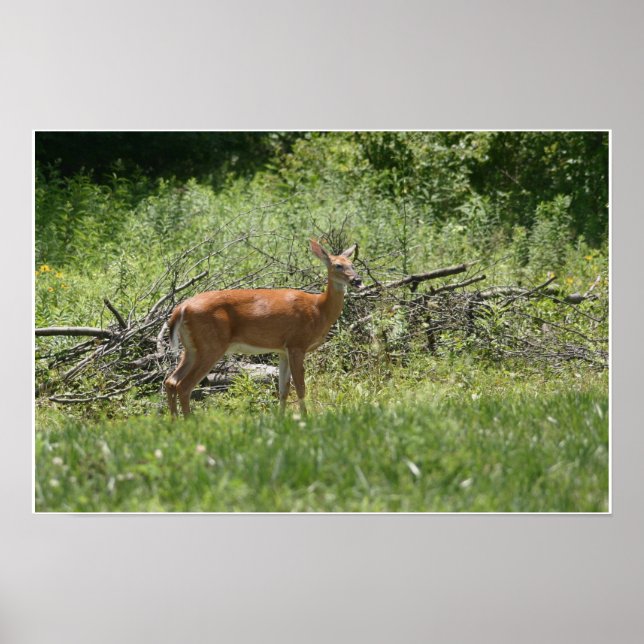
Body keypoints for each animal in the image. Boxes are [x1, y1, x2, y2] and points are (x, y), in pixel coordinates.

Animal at [164, 239, 363, 418]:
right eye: (337, 265)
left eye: (352, 264)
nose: (358, 280)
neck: (319, 309)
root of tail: (181, 308)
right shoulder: (297, 343)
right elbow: (300, 387)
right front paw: (305, 418)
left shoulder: (283, 349)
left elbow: (284, 389)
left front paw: (281, 419)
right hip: (211, 344)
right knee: (184, 385)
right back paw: (189, 421)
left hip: (192, 347)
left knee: (171, 381)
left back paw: (174, 420)